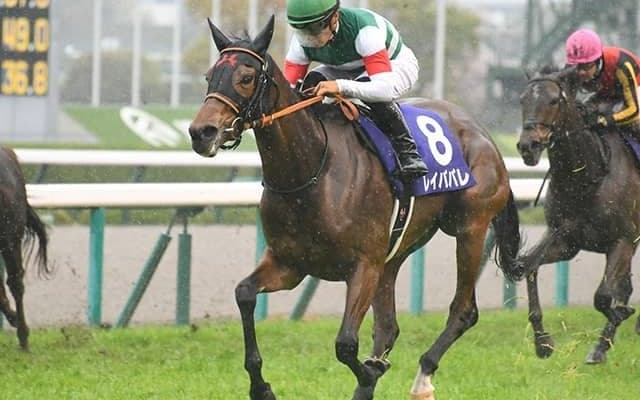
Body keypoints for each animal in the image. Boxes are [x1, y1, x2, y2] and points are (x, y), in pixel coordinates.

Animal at [189, 16, 522, 400]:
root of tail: (484, 135)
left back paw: (423, 376)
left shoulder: (363, 266)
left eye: (245, 77)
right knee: (389, 325)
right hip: (396, 250)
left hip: (469, 227)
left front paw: (368, 374)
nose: (201, 132)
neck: (311, 171)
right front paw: (261, 386)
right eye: (209, 76)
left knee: (464, 310)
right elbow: (244, 294)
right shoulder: (289, 264)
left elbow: (346, 344)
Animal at [517, 66, 640, 364]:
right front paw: (543, 342)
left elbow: (604, 296)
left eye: (553, 100)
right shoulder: (566, 241)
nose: (528, 146)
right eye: (522, 100)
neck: (587, 177)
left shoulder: (623, 241)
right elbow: (529, 267)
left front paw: (616, 321)